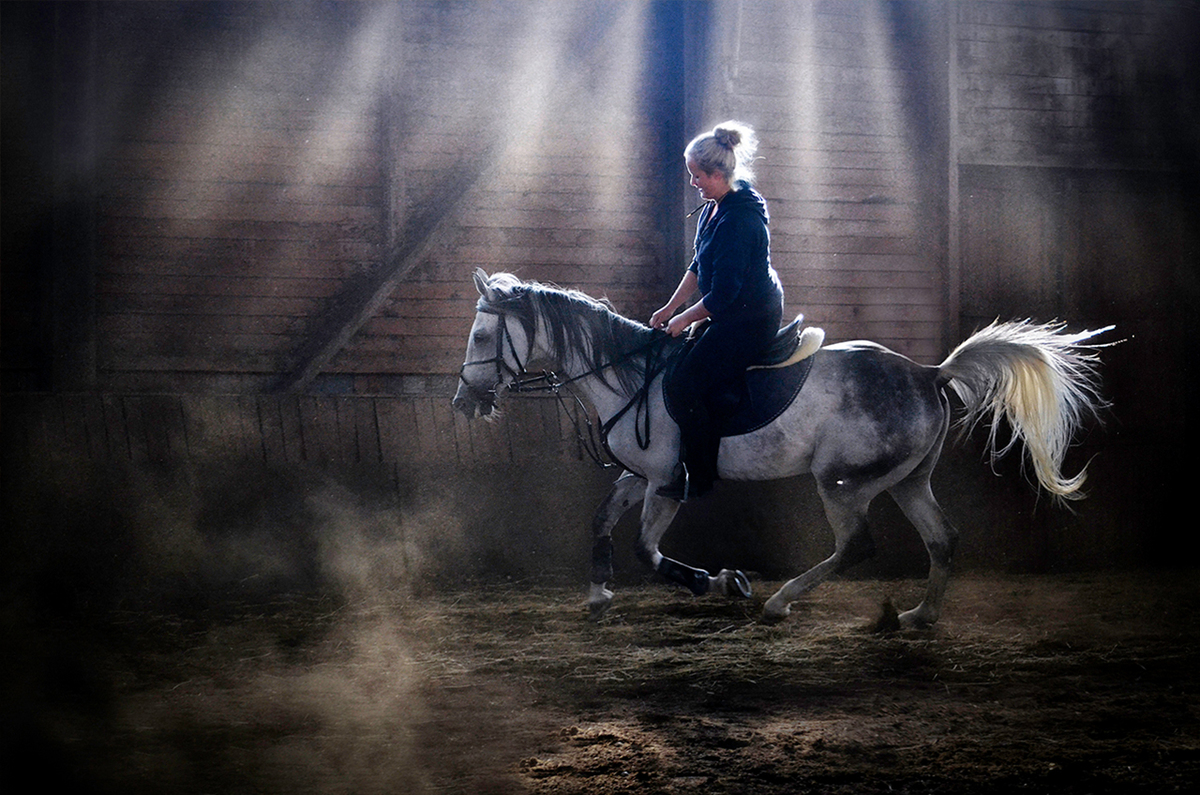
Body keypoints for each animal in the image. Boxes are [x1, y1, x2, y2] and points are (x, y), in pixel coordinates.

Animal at [452, 269, 1112, 627]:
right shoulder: (639, 475)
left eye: (482, 336)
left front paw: (720, 582)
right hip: (907, 479)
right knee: (941, 539)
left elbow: (646, 548)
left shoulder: (665, 480)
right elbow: (600, 520)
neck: (631, 375)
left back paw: (780, 602)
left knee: (857, 545)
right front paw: (597, 593)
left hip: (843, 481)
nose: (464, 402)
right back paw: (920, 617)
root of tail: (929, 373)